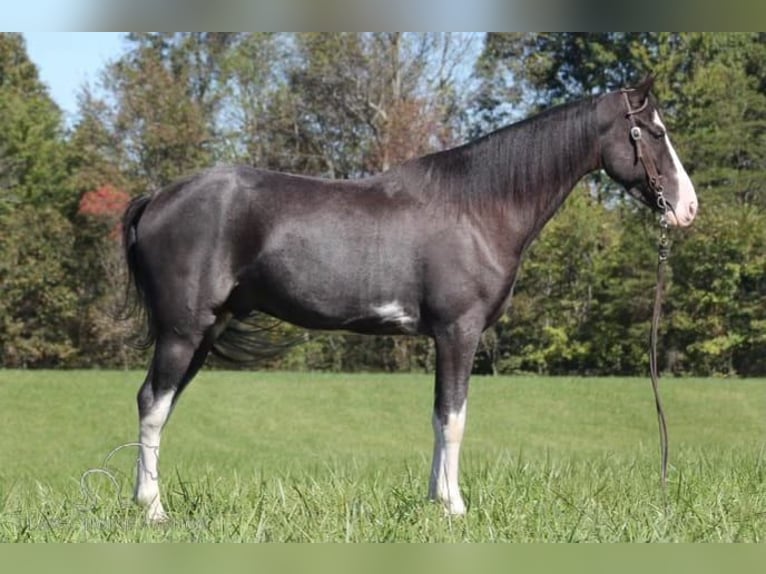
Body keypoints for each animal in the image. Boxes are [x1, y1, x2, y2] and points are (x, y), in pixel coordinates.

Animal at [123, 75, 700, 520]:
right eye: (654, 132)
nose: (688, 208)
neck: (478, 208)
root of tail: (159, 197)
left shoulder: (443, 338)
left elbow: (439, 416)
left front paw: (433, 502)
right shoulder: (459, 332)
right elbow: (455, 418)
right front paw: (455, 508)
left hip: (204, 332)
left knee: (163, 406)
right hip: (182, 331)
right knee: (151, 404)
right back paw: (152, 509)